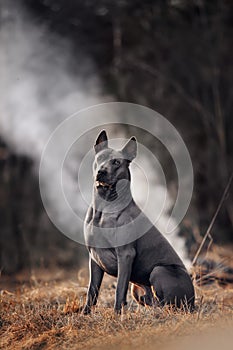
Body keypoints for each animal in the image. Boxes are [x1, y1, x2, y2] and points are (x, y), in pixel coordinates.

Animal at [83, 131, 195, 314]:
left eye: (116, 162)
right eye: (100, 158)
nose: (101, 172)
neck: (104, 206)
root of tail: (193, 301)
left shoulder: (125, 255)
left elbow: (119, 289)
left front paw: (117, 315)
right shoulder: (94, 258)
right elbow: (92, 290)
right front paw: (85, 314)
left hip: (159, 270)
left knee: (166, 304)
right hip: (136, 288)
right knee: (152, 301)